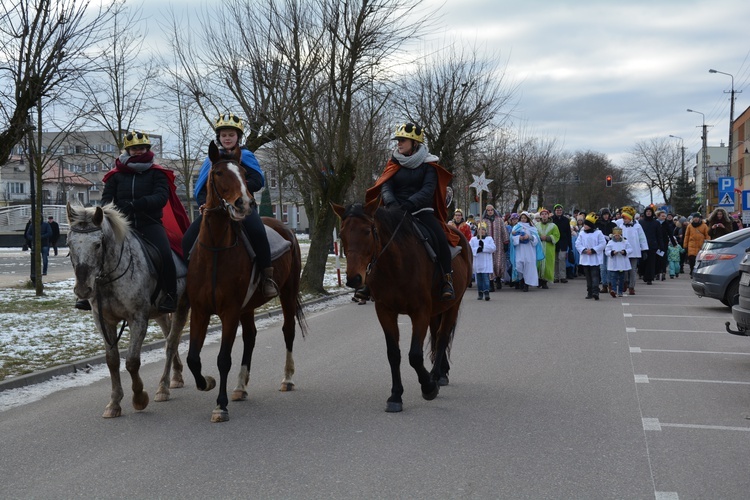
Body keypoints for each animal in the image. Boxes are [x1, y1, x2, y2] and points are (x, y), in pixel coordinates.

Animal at [66, 203, 188, 418]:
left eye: (97, 244)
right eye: (69, 244)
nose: (82, 290)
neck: (109, 278)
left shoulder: (137, 319)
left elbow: (131, 361)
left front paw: (139, 398)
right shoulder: (103, 321)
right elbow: (112, 360)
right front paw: (114, 403)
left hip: (182, 305)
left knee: (171, 343)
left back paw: (163, 388)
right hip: (160, 313)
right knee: (169, 338)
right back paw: (176, 376)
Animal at [187, 143, 306, 424]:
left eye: (243, 172)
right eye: (218, 173)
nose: (245, 203)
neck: (216, 250)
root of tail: (286, 229)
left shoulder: (229, 311)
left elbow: (223, 359)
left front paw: (220, 406)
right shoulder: (199, 311)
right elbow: (193, 358)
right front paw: (205, 383)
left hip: (287, 293)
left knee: (288, 331)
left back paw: (287, 378)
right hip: (248, 306)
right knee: (250, 337)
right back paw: (240, 386)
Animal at [334, 197, 472, 412]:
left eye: (367, 231)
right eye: (341, 234)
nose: (354, 279)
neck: (395, 265)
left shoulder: (420, 312)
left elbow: (414, 355)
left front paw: (428, 387)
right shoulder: (385, 311)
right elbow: (393, 354)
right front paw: (396, 396)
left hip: (452, 305)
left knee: (442, 337)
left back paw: (437, 375)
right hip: (435, 310)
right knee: (436, 335)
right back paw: (442, 371)